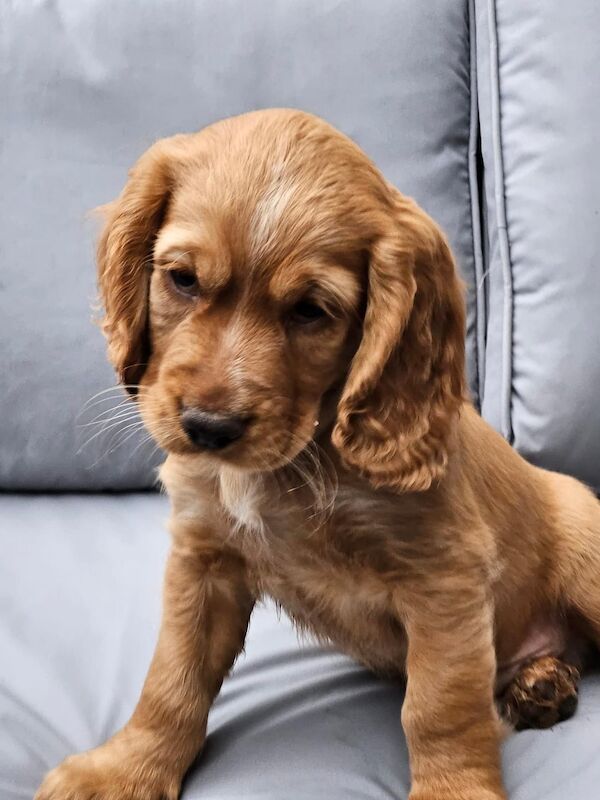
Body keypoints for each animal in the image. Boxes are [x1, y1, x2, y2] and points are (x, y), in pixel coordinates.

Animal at [36, 108, 600, 800]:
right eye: (182, 280)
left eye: (311, 310)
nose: (208, 427)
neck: (298, 464)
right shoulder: (204, 561)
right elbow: (172, 679)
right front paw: (126, 768)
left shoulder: (445, 579)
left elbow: (439, 706)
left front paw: (454, 789)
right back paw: (541, 682)